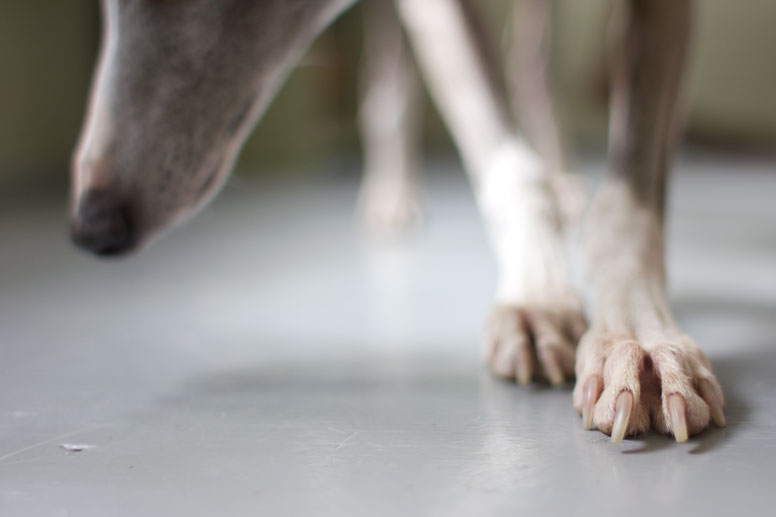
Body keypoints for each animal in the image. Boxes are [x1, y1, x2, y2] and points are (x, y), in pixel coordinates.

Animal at [69, 1, 724, 444]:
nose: (89, 225)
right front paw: (535, 300)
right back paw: (391, 190)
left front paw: (639, 340)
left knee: (536, 61)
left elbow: (625, 207)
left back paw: (562, 176)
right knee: (388, 77)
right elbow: (508, 168)